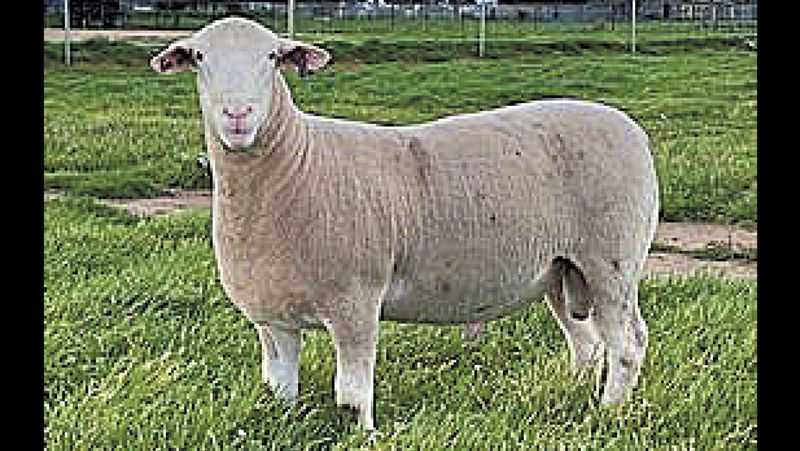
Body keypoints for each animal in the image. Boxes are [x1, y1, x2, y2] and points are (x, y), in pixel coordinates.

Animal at [150, 17, 659, 430]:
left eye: (273, 57)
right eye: (199, 57)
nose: (238, 116)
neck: (296, 164)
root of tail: (630, 128)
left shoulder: (355, 300)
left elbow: (351, 394)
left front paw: (365, 435)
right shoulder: (271, 316)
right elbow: (279, 387)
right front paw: (286, 423)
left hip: (611, 261)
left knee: (627, 345)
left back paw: (609, 412)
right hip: (561, 268)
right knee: (586, 343)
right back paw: (572, 397)